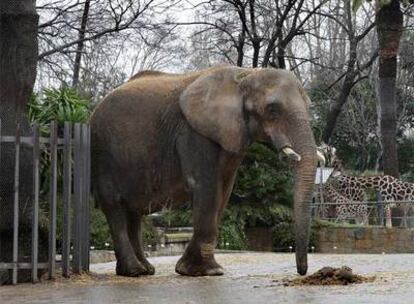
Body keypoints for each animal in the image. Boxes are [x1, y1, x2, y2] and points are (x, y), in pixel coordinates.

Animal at [90, 64, 320, 278]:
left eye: (310, 107)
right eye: (272, 109)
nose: (302, 272)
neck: (245, 74)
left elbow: (224, 192)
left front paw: (190, 268)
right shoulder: (194, 133)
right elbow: (206, 186)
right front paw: (207, 271)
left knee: (133, 212)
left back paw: (144, 270)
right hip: (103, 154)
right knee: (115, 208)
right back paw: (134, 271)